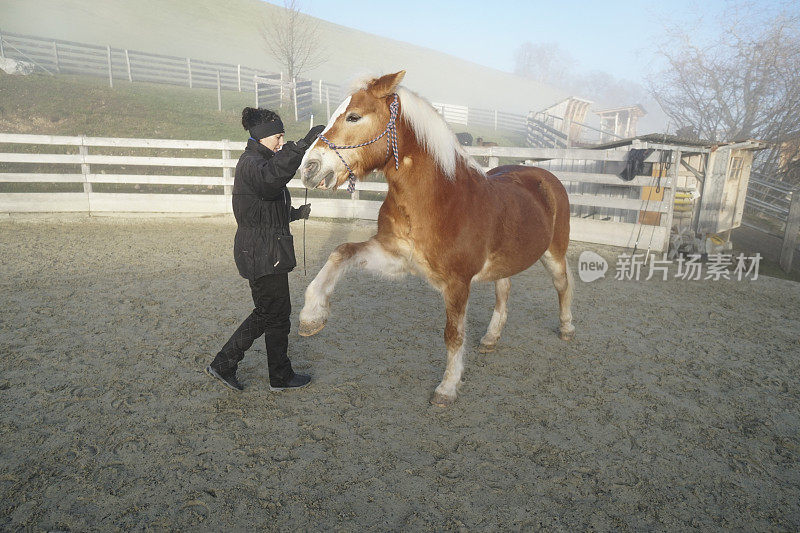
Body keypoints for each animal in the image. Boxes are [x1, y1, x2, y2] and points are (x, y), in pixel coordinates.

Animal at [296, 69, 572, 404]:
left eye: (354, 116)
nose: (309, 168)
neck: (440, 200)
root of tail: (545, 176)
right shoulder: (395, 257)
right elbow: (341, 252)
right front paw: (311, 316)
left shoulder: (457, 283)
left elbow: (453, 335)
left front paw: (447, 388)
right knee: (503, 289)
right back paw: (491, 337)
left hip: (554, 253)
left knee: (563, 284)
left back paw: (567, 329)